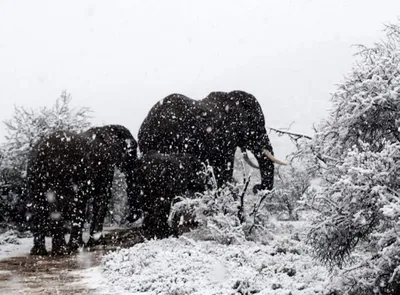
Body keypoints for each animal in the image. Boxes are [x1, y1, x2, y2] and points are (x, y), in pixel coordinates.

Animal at [26, 125, 137, 256]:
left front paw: (85, 244)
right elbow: (101, 198)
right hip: (61, 175)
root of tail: (41, 154)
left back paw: (39, 252)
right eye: (133, 150)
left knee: (38, 206)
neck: (107, 128)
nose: (128, 219)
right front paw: (92, 243)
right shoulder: (105, 167)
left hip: (35, 177)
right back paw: (63, 251)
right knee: (58, 206)